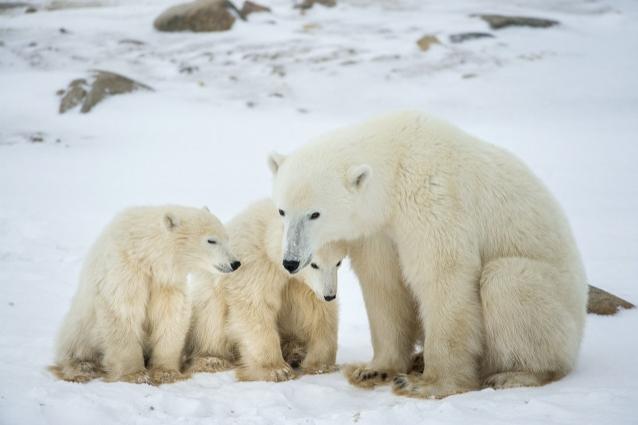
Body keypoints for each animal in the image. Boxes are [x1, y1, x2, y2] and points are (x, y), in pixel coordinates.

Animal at [51, 205, 241, 384]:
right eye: (211, 240)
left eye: (227, 237)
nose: (235, 263)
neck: (146, 255)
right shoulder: (126, 270)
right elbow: (123, 311)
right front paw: (135, 375)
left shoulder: (166, 282)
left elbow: (171, 315)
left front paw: (166, 373)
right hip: (80, 326)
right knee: (75, 345)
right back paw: (82, 367)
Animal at [188, 199, 348, 380]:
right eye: (314, 264)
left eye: (338, 262)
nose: (329, 295)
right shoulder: (255, 265)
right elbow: (255, 307)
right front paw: (277, 370)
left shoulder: (305, 284)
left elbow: (318, 312)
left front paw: (320, 365)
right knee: (211, 319)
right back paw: (211, 359)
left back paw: (295, 351)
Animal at [270, 110, 592, 398]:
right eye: (282, 210)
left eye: (315, 213)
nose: (291, 261)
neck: (396, 165)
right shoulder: (378, 232)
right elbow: (384, 286)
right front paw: (372, 370)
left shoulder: (433, 200)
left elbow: (443, 279)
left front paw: (427, 384)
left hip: (558, 309)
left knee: (508, 281)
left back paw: (516, 374)